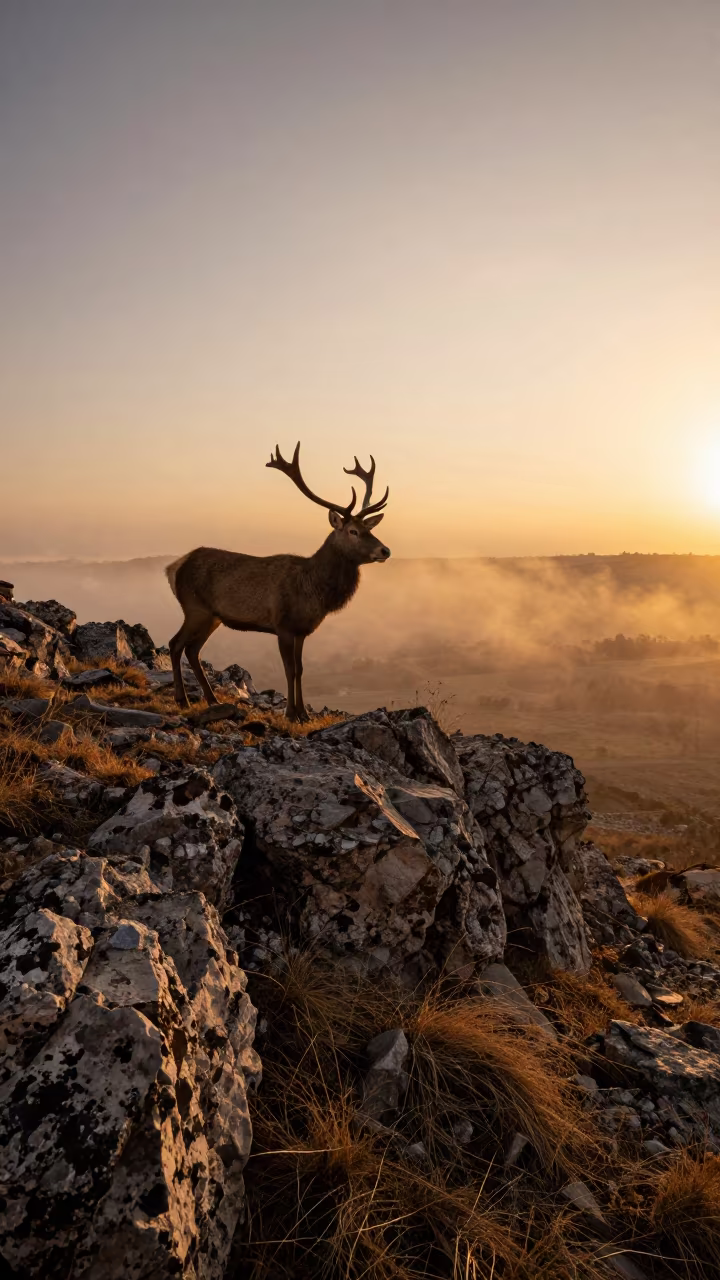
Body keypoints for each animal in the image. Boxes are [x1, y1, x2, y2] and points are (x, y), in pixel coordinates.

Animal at [165, 443, 390, 721]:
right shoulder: (282, 624)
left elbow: (301, 668)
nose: (385, 550)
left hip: (212, 616)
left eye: (370, 529)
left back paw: (211, 698)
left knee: (193, 650)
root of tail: (174, 568)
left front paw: (303, 713)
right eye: (353, 531)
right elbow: (289, 669)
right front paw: (291, 713)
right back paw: (182, 700)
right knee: (175, 644)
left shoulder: (302, 630)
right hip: (194, 607)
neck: (314, 590)